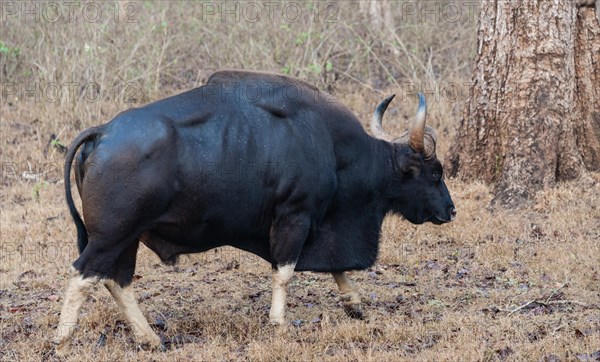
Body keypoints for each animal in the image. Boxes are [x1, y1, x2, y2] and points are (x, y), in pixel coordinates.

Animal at [54, 70, 454, 350]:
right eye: (435, 173)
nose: (450, 211)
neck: (331, 148)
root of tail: (103, 133)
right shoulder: (296, 216)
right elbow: (285, 272)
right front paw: (278, 322)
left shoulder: (319, 223)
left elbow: (335, 265)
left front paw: (353, 303)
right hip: (112, 235)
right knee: (82, 274)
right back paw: (62, 339)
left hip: (129, 237)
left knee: (116, 279)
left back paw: (149, 338)